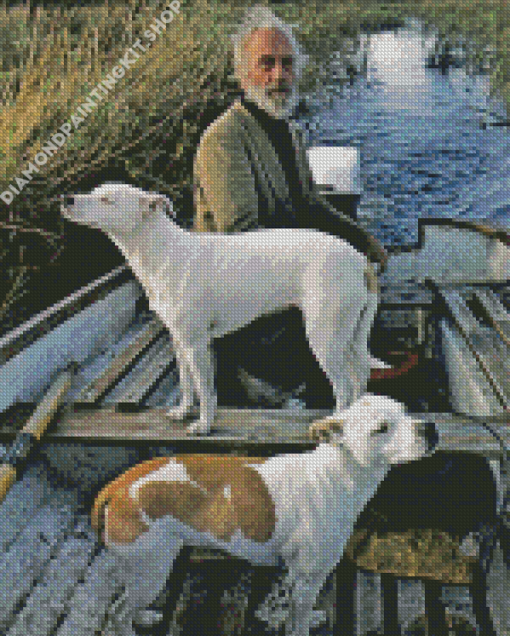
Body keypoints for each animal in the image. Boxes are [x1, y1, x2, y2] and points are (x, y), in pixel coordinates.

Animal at [60, 181, 386, 434]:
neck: (162, 253)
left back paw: (334, 421)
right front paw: (183, 411)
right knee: (360, 375)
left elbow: (205, 389)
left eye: (107, 199)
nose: (66, 199)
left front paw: (204, 425)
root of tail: (360, 260)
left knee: (343, 386)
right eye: (94, 191)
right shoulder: (178, 341)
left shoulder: (197, 345)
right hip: (348, 335)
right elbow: (186, 383)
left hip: (324, 337)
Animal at [92, 396, 438, 632]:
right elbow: (297, 624)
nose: (431, 427)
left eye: (405, 410)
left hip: (145, 569)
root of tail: (115, 487)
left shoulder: (299, 578)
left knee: (125, 604)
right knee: (117, 613)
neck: (335, 475)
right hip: (151, 569)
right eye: (381, 428)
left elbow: (295, 611)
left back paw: (144, 615)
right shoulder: (309, 575)